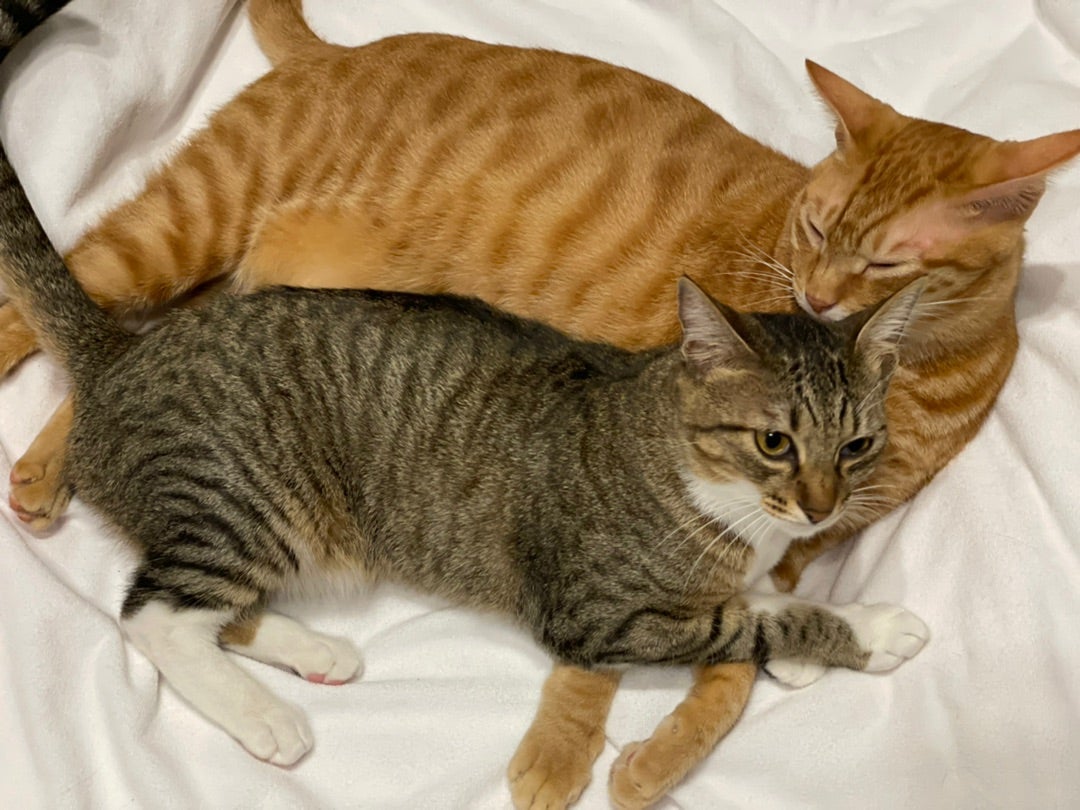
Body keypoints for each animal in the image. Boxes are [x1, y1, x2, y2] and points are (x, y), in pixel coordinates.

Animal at [3, 0, 1079, 806]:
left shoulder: (804, 533)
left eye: (884, 262)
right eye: (814, 230)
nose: (813, 296)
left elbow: (764, 599)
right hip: (199, 277)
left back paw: (315, 651)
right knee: (140, 576)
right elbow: (734, 637)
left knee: (199, 595)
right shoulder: (605, 601)